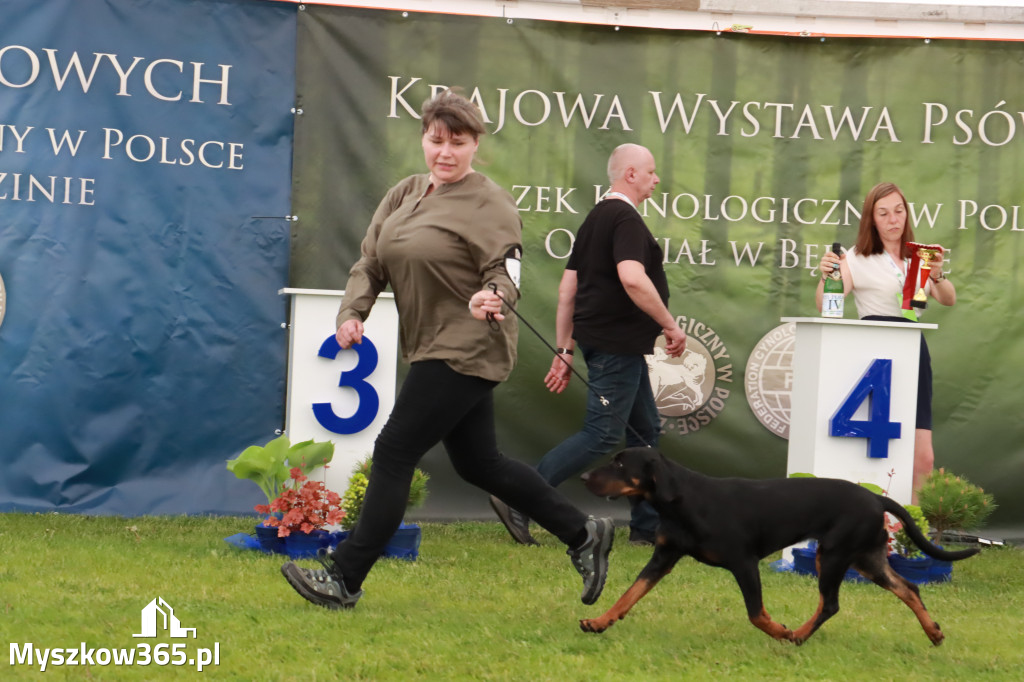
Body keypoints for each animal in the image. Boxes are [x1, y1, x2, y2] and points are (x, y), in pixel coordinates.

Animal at [581, 446, 978, 643]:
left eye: (620, 464)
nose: (584, 477)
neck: (683, 501)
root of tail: (877, 499)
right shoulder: (664, 556)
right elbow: (629, 594)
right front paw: (598, 622)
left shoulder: (744, 563)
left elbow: (756, 613)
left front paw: (780, 630)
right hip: (867, 559)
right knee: (909, 588)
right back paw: (934, 632)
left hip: (833, 555)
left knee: (830, 604)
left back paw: (797, 636)